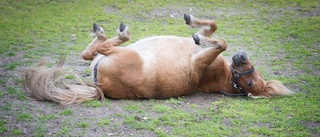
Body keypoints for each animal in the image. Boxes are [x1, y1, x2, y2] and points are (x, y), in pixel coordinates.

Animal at [23, 14, 294, 105]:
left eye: (251, 84)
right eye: (255, 76)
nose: (242, 57)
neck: (222, 75)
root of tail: (98, 86)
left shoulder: (201, 61)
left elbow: (220, 42)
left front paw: (198, 34)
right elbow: (212, 29)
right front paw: (192, 23)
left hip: (125, 54)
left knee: (101, 48)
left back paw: (116, 33)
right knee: (89, 52)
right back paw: (103, 32)